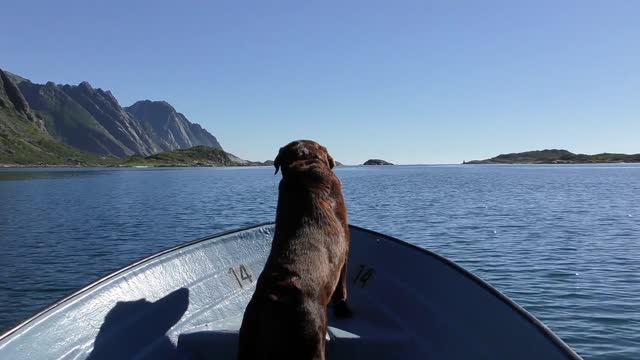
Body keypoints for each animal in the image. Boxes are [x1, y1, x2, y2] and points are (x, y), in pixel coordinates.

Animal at [238, 139, 352, 358]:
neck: (305, 162)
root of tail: (275, 300)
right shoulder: (346, 248)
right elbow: (342, 286)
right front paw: (343, 308)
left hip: (248, 342)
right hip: (312, 341)